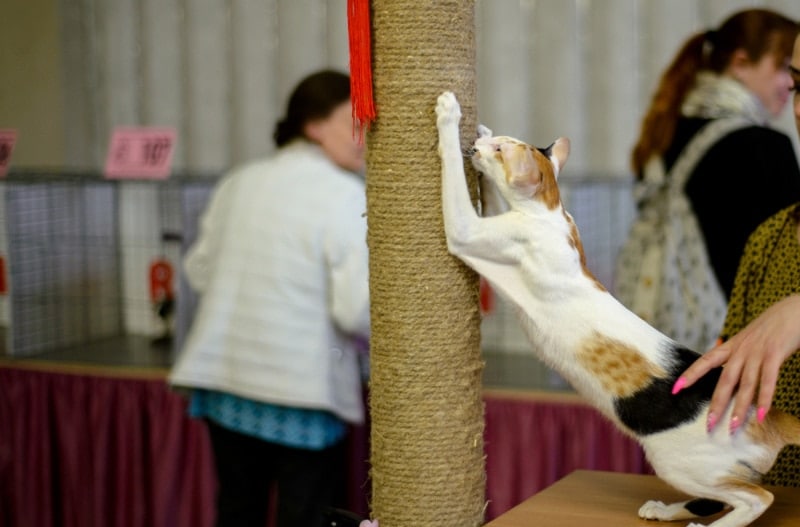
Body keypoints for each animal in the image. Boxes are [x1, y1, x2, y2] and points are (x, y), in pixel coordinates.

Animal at [434, 92, 800, 527]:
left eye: (500, 152)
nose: (478, 144)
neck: (551, 212)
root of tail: (771, 417)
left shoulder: (469, 232)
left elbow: (456, 194)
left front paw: (448, 113)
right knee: (723, 497)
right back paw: (664, 509)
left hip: (677, 461)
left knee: (756, 498)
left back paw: (705, 525)